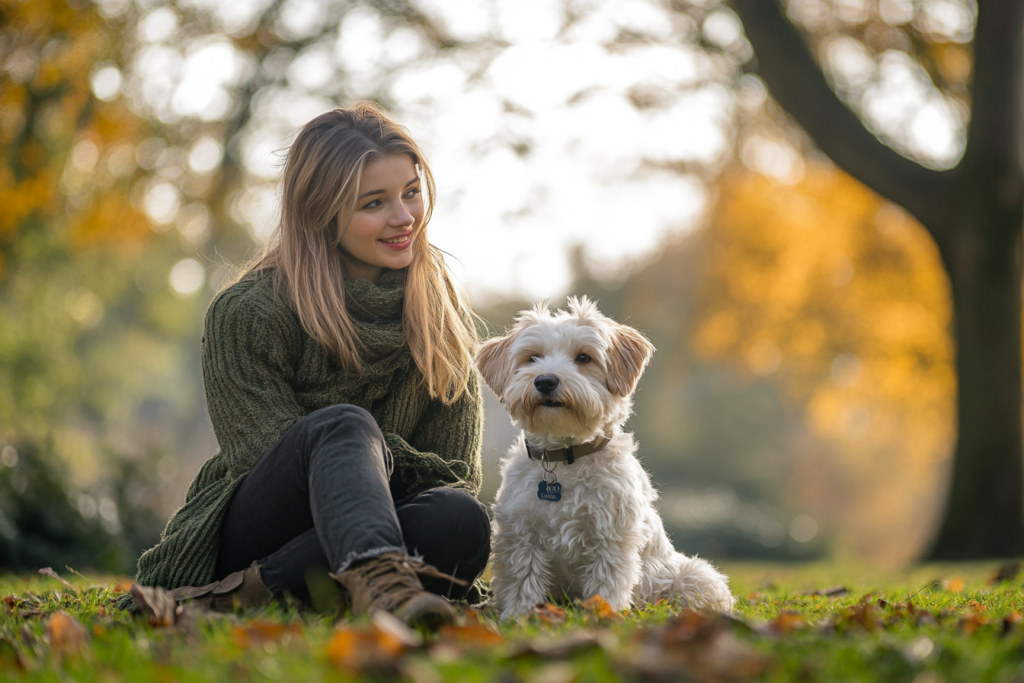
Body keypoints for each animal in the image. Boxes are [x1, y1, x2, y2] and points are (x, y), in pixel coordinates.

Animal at [475, 299, 733, 618]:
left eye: (584, 357)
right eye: (532, 357)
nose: (545, 381)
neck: (565, 457)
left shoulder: (610, 537)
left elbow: (605, 583)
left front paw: (602, 616)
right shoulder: (522, 536)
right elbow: (523, 580)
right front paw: (519, 617)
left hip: (694, 575)